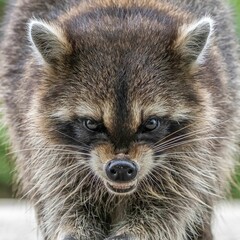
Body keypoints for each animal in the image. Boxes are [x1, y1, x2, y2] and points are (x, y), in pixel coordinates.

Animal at [0, 0, 240, 239]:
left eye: (151, 123)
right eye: (91, 124)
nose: (122, 167)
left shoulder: (200, 147)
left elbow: (172, 204)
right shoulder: (46, 150)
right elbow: (64, 199)